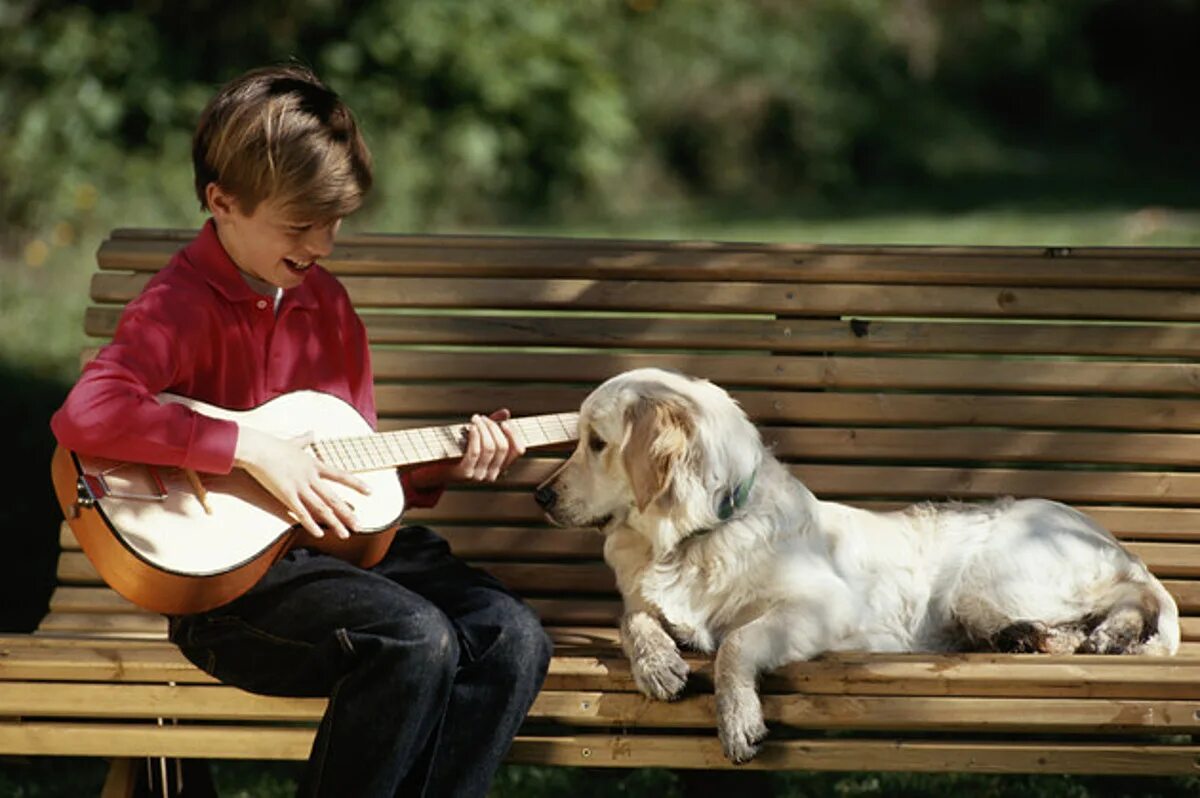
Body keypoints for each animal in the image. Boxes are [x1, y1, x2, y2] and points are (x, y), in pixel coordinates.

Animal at [535, 364, 1180, 758]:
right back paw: (1049, 639)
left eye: (596, 442)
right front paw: (658, 665)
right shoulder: (645, 601)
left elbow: (736, 644)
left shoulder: (821, 608)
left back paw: (1100, 636)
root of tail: (1101, 533)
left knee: (1130, 596)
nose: (540, 495)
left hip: (988, 580)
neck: (693, 537)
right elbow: (634, 619)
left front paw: (737, 719)